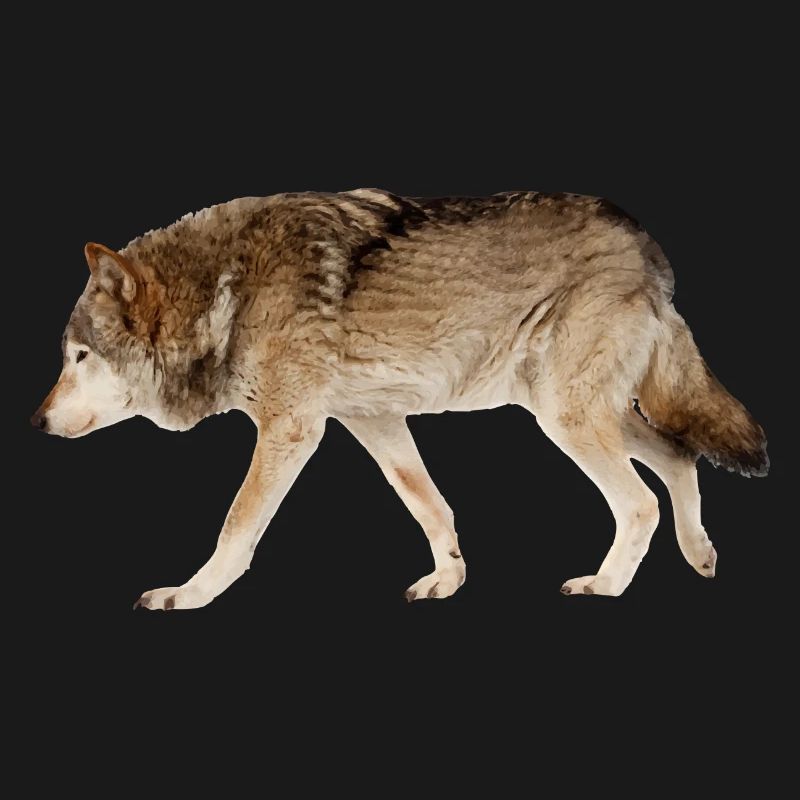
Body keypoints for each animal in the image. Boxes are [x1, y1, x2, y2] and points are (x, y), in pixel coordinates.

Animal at [32, 190, 768, 609]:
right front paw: (448, 581)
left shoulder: (292, 428)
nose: (35, 421)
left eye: (78, 357)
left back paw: (605, 586)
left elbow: (236, 526)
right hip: (570, 412)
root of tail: (648, 248)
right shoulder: (373, 420)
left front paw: (188, 595)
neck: (225, 290)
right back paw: (700, 555)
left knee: (641, 500)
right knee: (677, 454)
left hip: (567, 417)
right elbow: (430, 505)